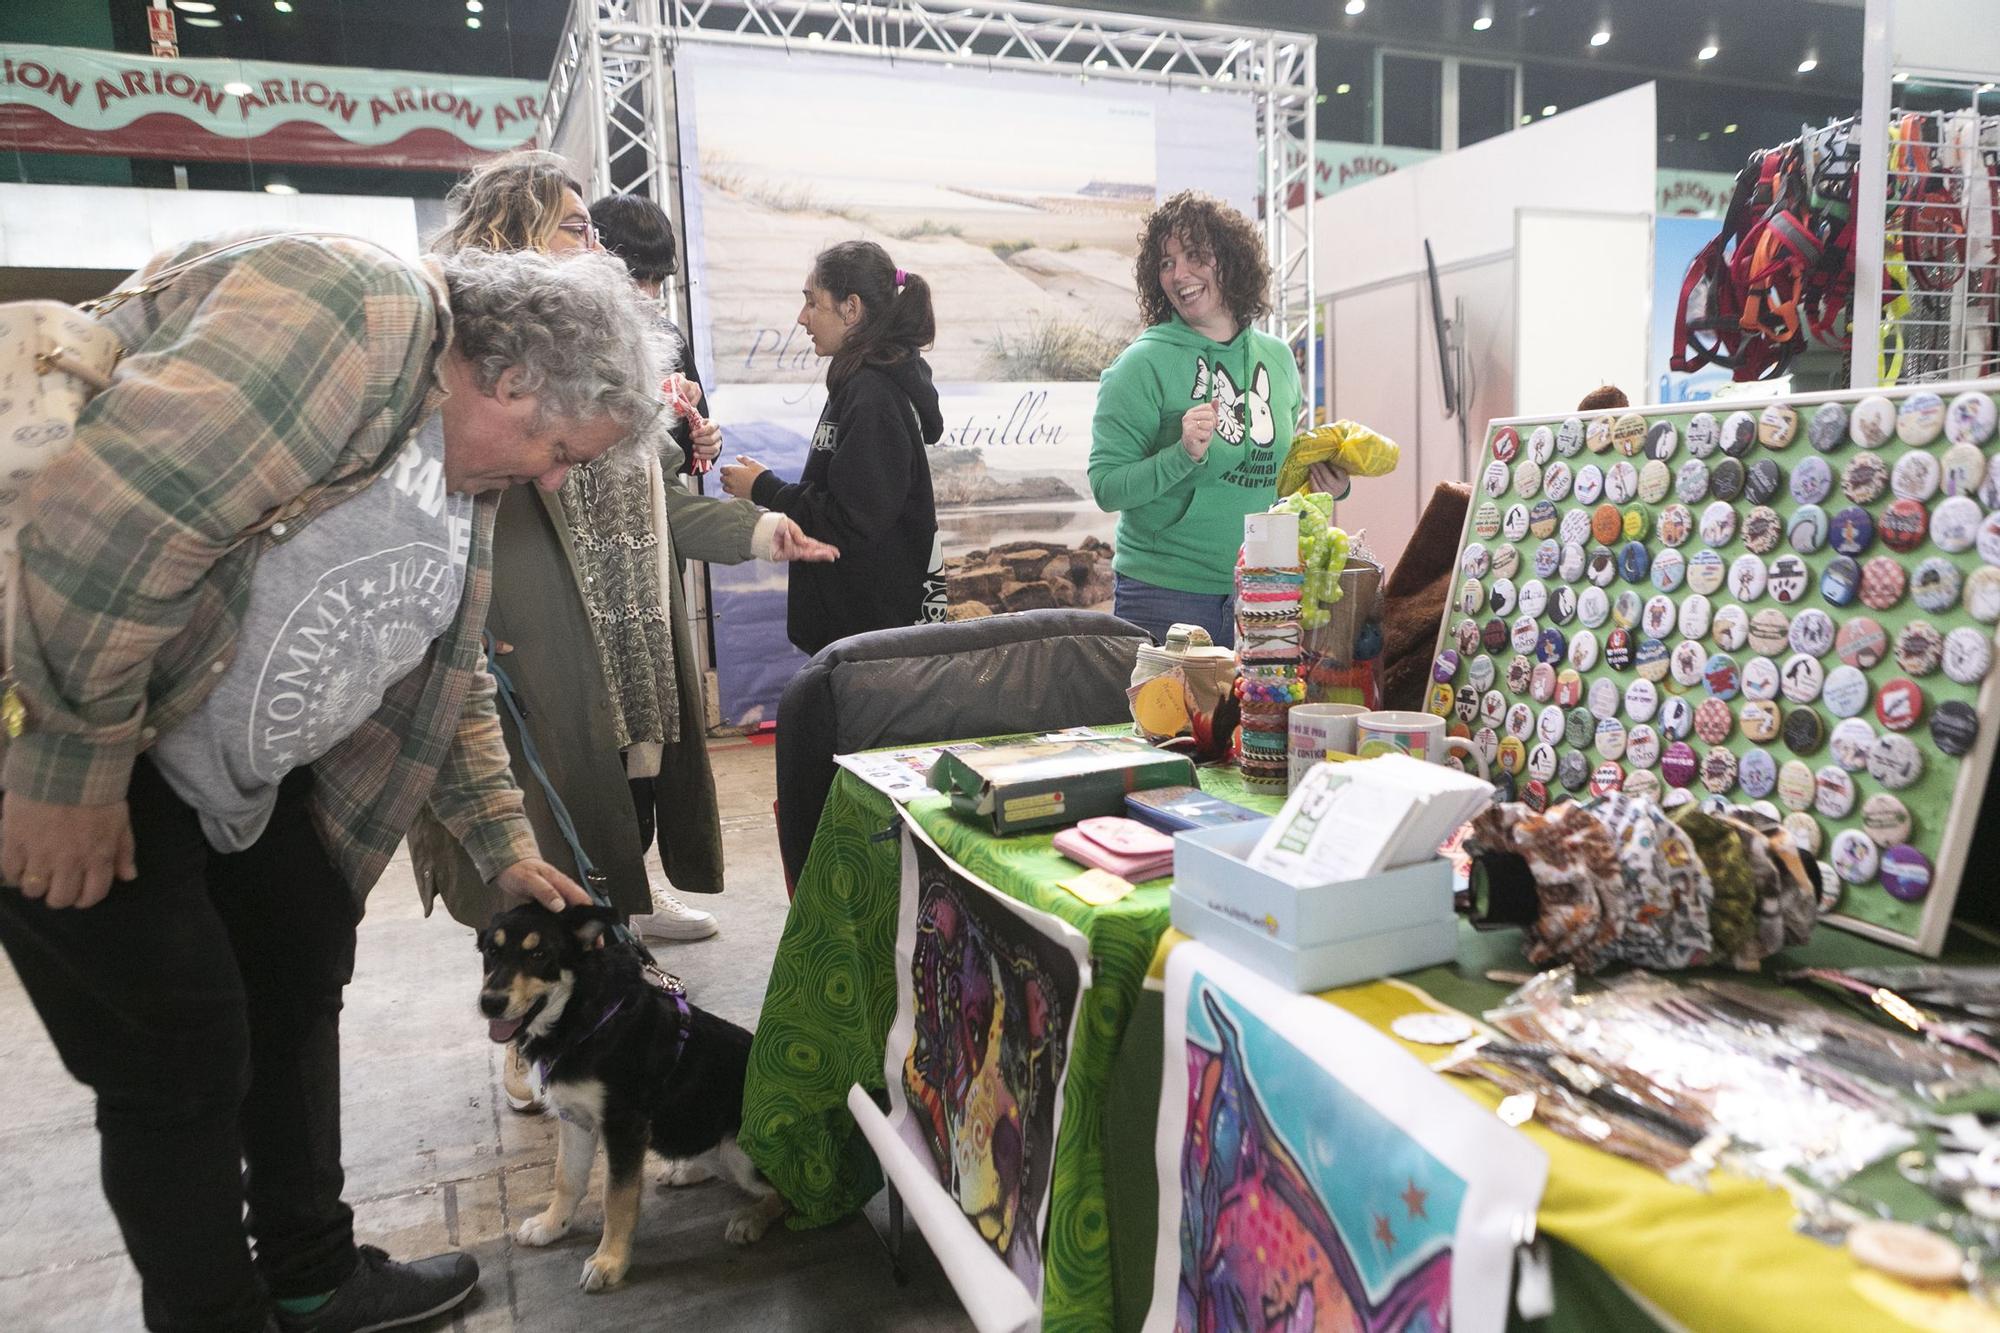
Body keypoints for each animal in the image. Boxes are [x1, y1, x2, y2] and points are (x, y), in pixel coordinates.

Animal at [480, 896, 784, 1280]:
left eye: (538, 954)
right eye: (491, 951)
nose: (490, 1003)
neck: (577, 1017)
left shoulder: (623, 1124)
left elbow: (616, 1196)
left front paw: (610, 1260)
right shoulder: (574, 1116)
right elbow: (566, 1177)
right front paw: (551, 1226)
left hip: (741, 1150)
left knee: (790, 1194)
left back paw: (751, 1218)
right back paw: (686, 1171)